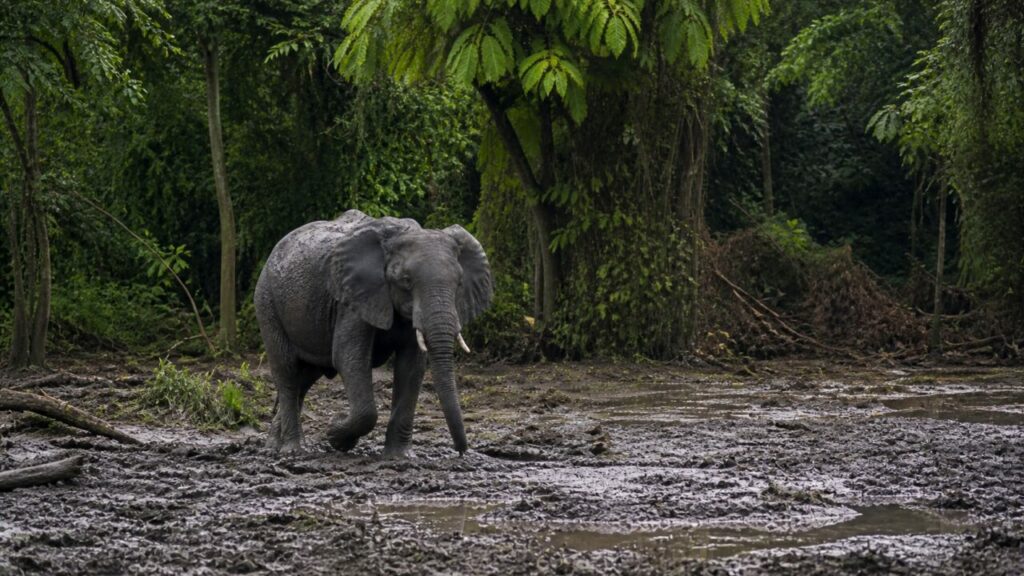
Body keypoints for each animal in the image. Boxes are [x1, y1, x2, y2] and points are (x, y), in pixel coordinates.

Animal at [254, 209, 493, 457]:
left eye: (459, 283)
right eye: (406, 281)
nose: (461, 451)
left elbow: (412, 366)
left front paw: (400, 456)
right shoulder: (352, 299)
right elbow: (349, 358)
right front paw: (336, 435)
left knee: (306, 377)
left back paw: (274, 446)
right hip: (267, 302)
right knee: (287, 372)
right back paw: (292, 450)